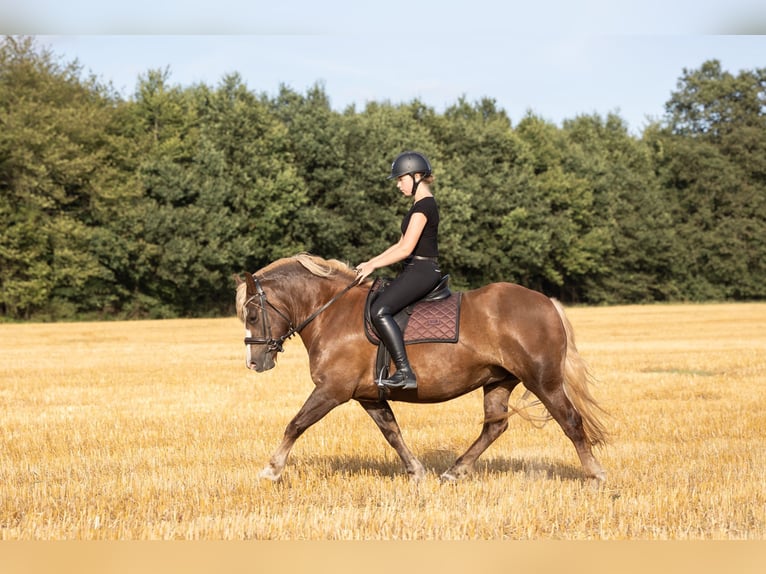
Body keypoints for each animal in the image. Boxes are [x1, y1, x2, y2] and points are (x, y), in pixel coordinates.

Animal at [237, 254, 608, 484]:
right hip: (499, 380)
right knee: (494, 426)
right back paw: (455, 472)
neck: (331, 312)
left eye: (252, 315)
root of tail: (547, 302)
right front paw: (416, 471)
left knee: (571, 421)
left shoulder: (332, 390)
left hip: (543, 380)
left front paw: (271, 470)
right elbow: (392, 432)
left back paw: (595, 475)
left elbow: (296, 424)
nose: (255, 362)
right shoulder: (369, 396)